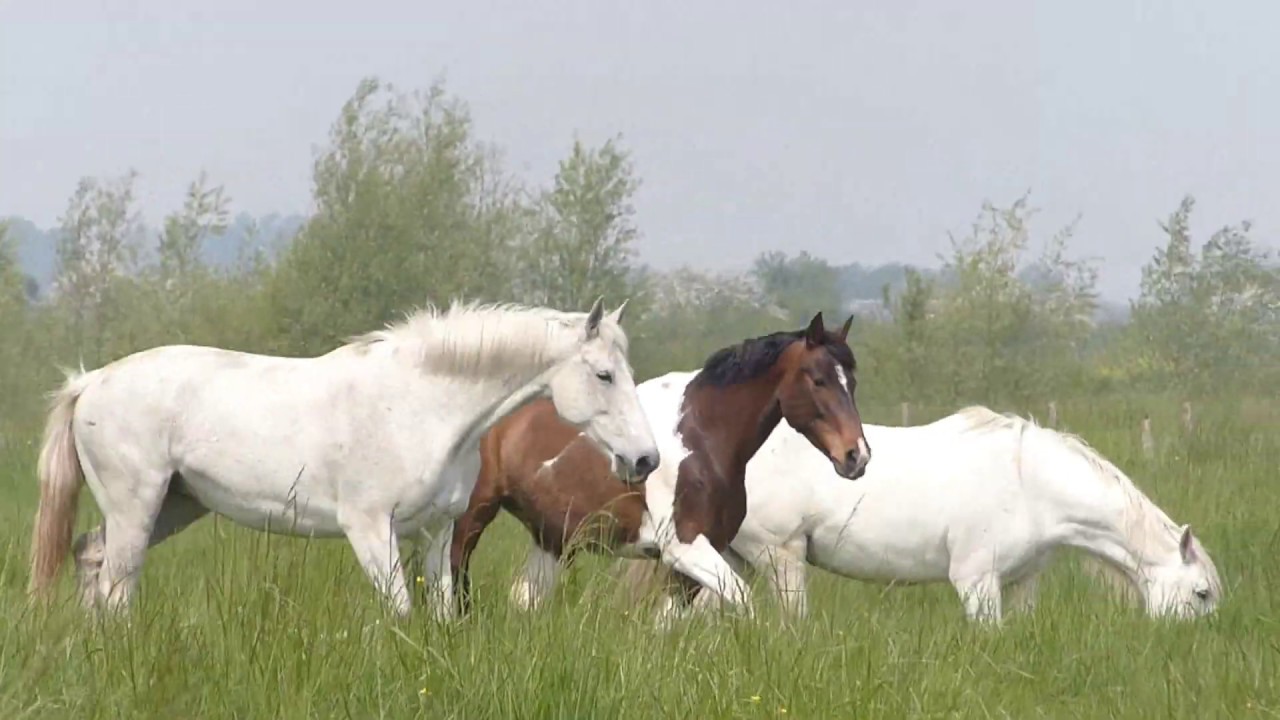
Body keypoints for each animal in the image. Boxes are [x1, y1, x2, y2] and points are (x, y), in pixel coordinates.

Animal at [27, 298, 660, 617]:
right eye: (604, 375)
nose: (646, 459)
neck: (421, 405)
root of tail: (91, 382)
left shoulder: (437, 534)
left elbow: (440, 614)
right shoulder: (370, 529)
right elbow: (399, 610)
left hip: (173, 506)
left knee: (91, 559)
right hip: (137, 506)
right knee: (116, 586)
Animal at [441, 312, 871, 623]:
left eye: (851, 382)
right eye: (817, 380)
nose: (857, 456)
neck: (701, 441)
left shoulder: (697, 558)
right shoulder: (686, 548)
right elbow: (742, 601)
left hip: (552, 540)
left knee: (523, 599)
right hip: (471, 517)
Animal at [622, 405, 1224, 624]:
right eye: (1201, 594)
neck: (1031, 482)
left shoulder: (1022, 582)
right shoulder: (976, 582)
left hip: (726, 559)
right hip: (778, 559)